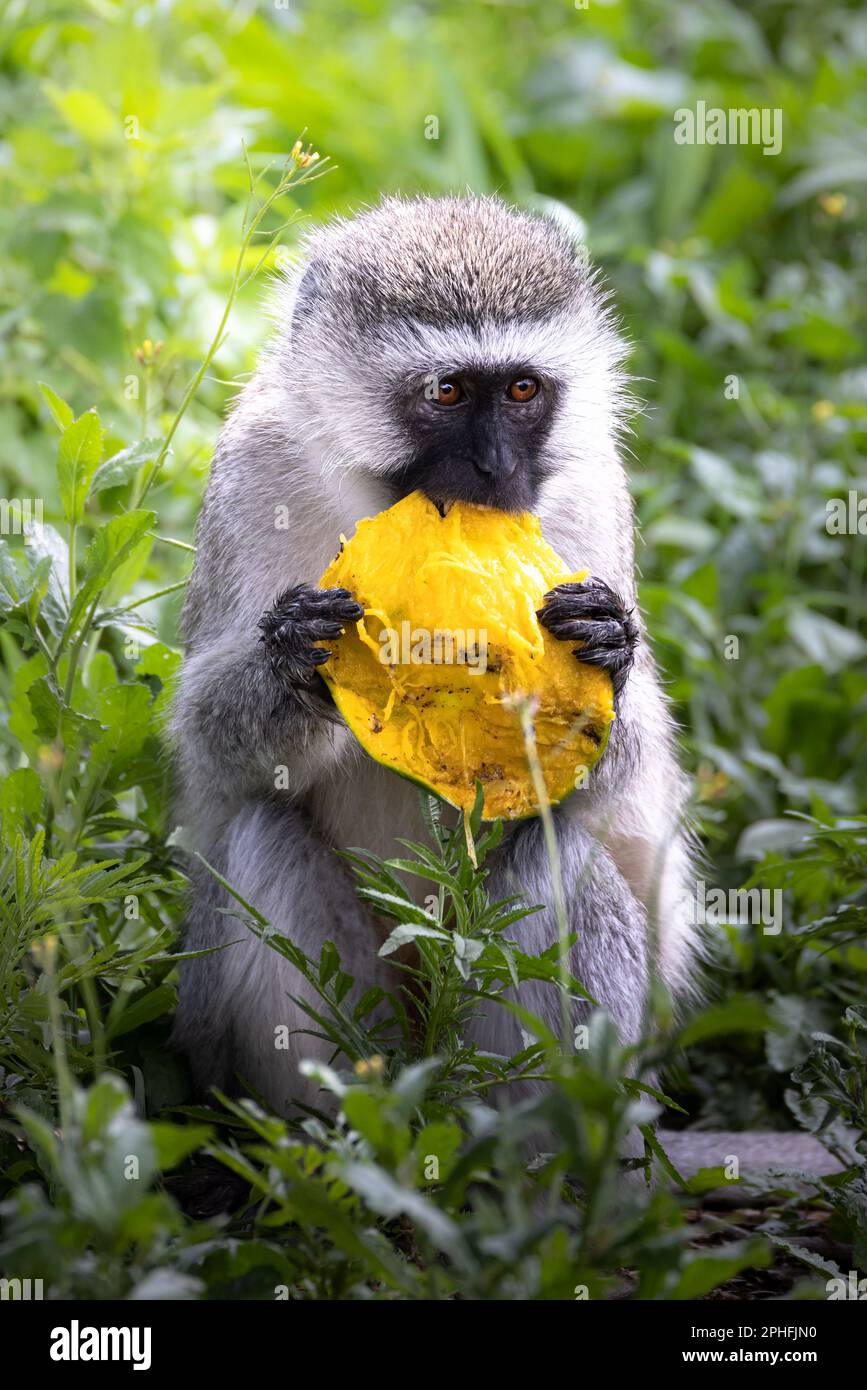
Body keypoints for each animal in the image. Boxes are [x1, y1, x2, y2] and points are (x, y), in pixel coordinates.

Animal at [170, 195, 839, 1180]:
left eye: (522, 392)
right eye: (448, 392)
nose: (494, 471)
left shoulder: (592, 490)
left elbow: (619, 772)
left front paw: (606, 650)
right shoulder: (251, 474)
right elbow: (210, 749)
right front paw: (297, 655)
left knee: (550, 856)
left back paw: (542, 1169)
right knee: (261, 837)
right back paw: (341, 1152)